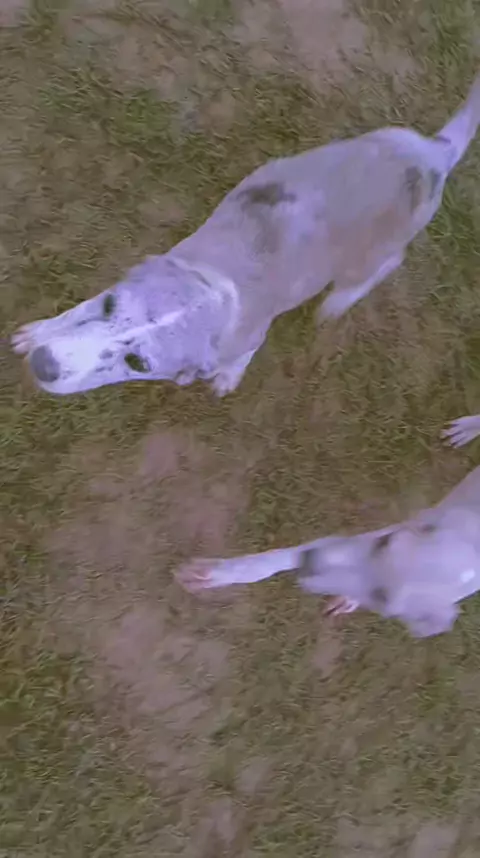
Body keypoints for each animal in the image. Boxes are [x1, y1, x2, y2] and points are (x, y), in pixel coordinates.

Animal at [12, 73, 480, 397]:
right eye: (109, 305)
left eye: (138, 362)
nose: (44, 365)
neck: (216, 286)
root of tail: (434, 153)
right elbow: (77, 311)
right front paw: (38, 331)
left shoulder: (250, 334)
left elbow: (242, 355)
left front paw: (227, 377)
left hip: (372, 255)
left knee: (383, 265)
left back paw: (336, 302)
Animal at [177, 466, 480, 638]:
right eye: (385, 543)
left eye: (381, 597)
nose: (310, 561)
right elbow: (266, 562)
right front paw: (212, 574)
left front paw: (348, 599)